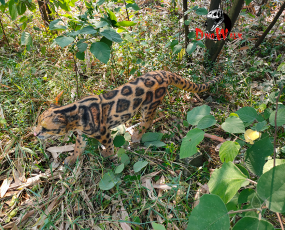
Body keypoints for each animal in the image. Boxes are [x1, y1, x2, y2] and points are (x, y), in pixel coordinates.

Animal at [34, 70, 221, 165]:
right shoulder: (82, 134)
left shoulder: (103, 131)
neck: (72, 112)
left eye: (45, 128)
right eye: (37, 123)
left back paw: (136, 136)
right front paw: (72, 159)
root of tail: (164, 73)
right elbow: (78, 147)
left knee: (147, 122)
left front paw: (107, 155)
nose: (35, 133)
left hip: (149, 105)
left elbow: (109, 146)